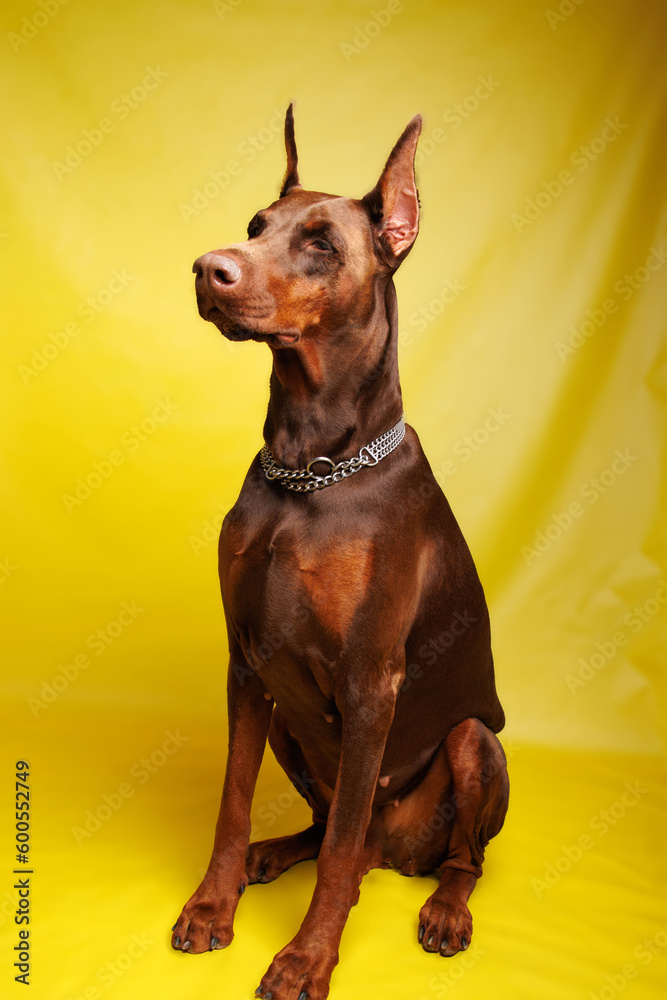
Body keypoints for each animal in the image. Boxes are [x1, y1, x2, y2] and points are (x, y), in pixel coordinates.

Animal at [174, 105, 512, 996]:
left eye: (322, 243)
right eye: (256, 226)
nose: (208, 269)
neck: (312, 470)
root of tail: (396, 856)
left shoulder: (369, 683)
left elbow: (335, 861)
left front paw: (306, 956)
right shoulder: (247, 664)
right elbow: (231, 803)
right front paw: (212, 904)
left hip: (474, 742)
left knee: (439, 856)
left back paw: (444, 910)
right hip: (290, 721)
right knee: (332, 827)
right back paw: (273, 855)